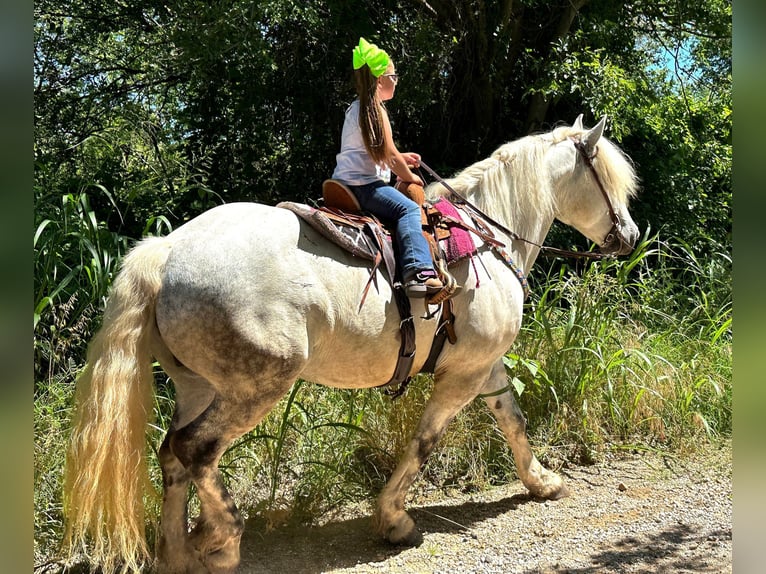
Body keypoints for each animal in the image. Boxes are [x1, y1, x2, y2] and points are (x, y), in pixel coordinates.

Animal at [63, 115, 640, 572]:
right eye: (608, 180)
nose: (630, 236)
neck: (485, 239)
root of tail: (166, 251)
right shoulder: (463, 375)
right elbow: (426, 442)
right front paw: (394, 520)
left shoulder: (485, 365)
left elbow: (512, 420)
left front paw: (542, 481)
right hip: (256, 386)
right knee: (196, 449)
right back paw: (221, 539)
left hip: (197, 386)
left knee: (172, 455)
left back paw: (182, 551)